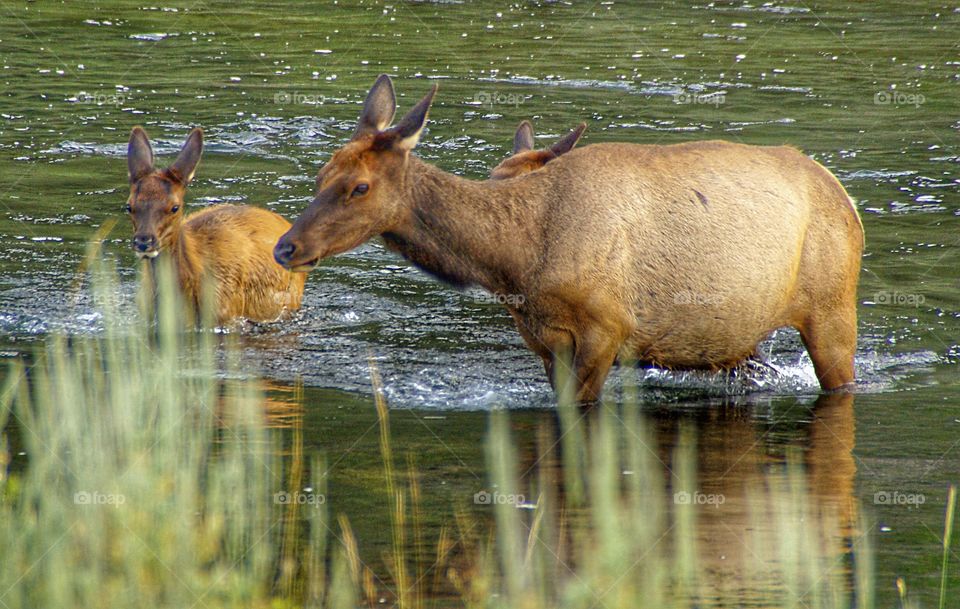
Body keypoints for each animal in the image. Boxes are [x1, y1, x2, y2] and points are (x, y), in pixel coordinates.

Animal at [272, 73, 864, 402]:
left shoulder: (607, 328)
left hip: (832, 307)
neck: (520, 262)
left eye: (359, 186)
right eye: (321, 175)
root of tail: (848, 199)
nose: (285, 247)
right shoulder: (544, 341)